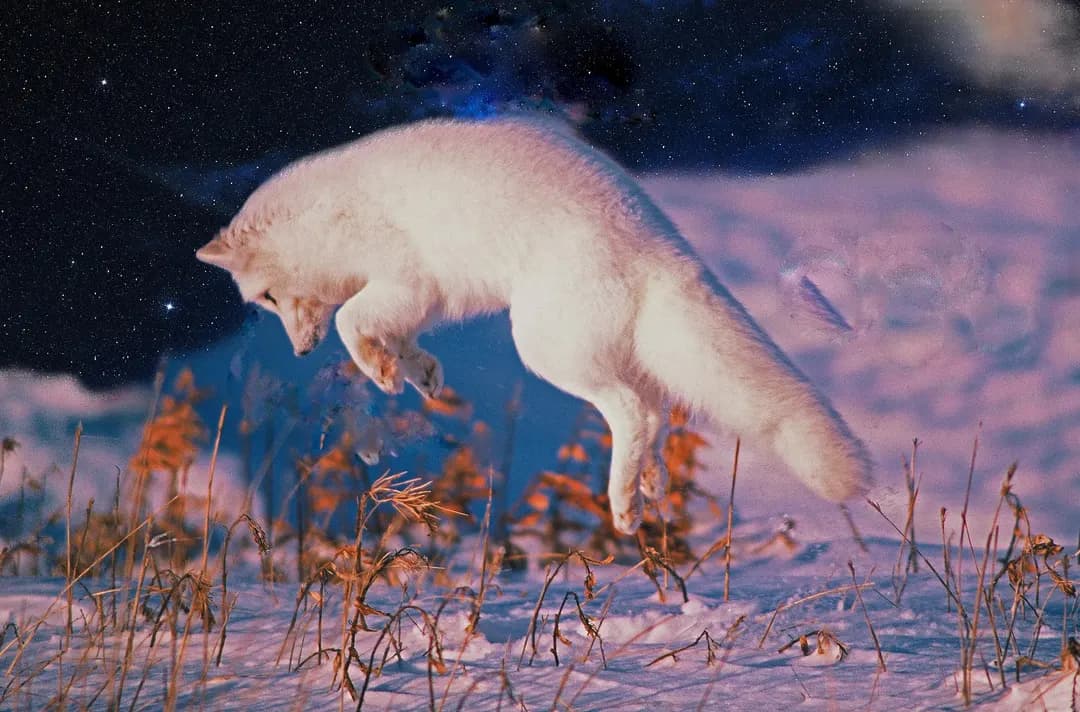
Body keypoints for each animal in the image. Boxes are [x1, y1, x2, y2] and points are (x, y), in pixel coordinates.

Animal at [196, 117, 871, 535]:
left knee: (633, 412)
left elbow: (349, 319)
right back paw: (645, 492)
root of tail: (658, 244)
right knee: (655, 415)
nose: (299, 355)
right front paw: (419, 373)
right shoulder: (422, 298)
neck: (325, 217)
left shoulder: (401, 278)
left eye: (267, 297)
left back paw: (621, 503)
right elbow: (397, 335)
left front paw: (381, 371)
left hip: (546, 349)